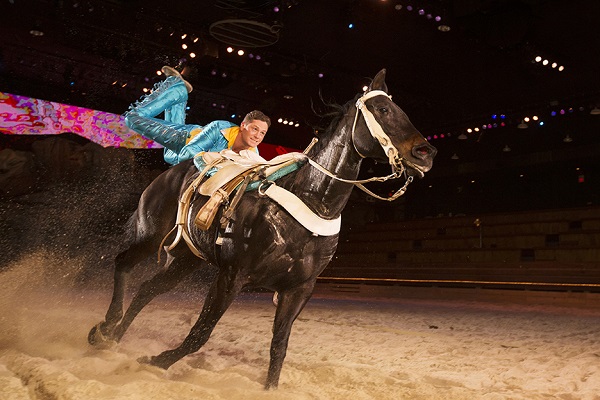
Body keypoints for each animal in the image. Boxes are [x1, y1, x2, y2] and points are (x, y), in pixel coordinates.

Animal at [88, 70, 436, 390]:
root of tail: (171, 172)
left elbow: (278, 347)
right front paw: (156, 360)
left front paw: (270, 386)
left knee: (147, 289)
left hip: (187, 259)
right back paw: (104, 328)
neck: (308, 201)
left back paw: (113, 337)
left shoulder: (299, 290)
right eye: (383, 109)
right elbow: (200, 333)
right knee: (123, 263)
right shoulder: (231, 276)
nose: (425, 153)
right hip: (150, 235)